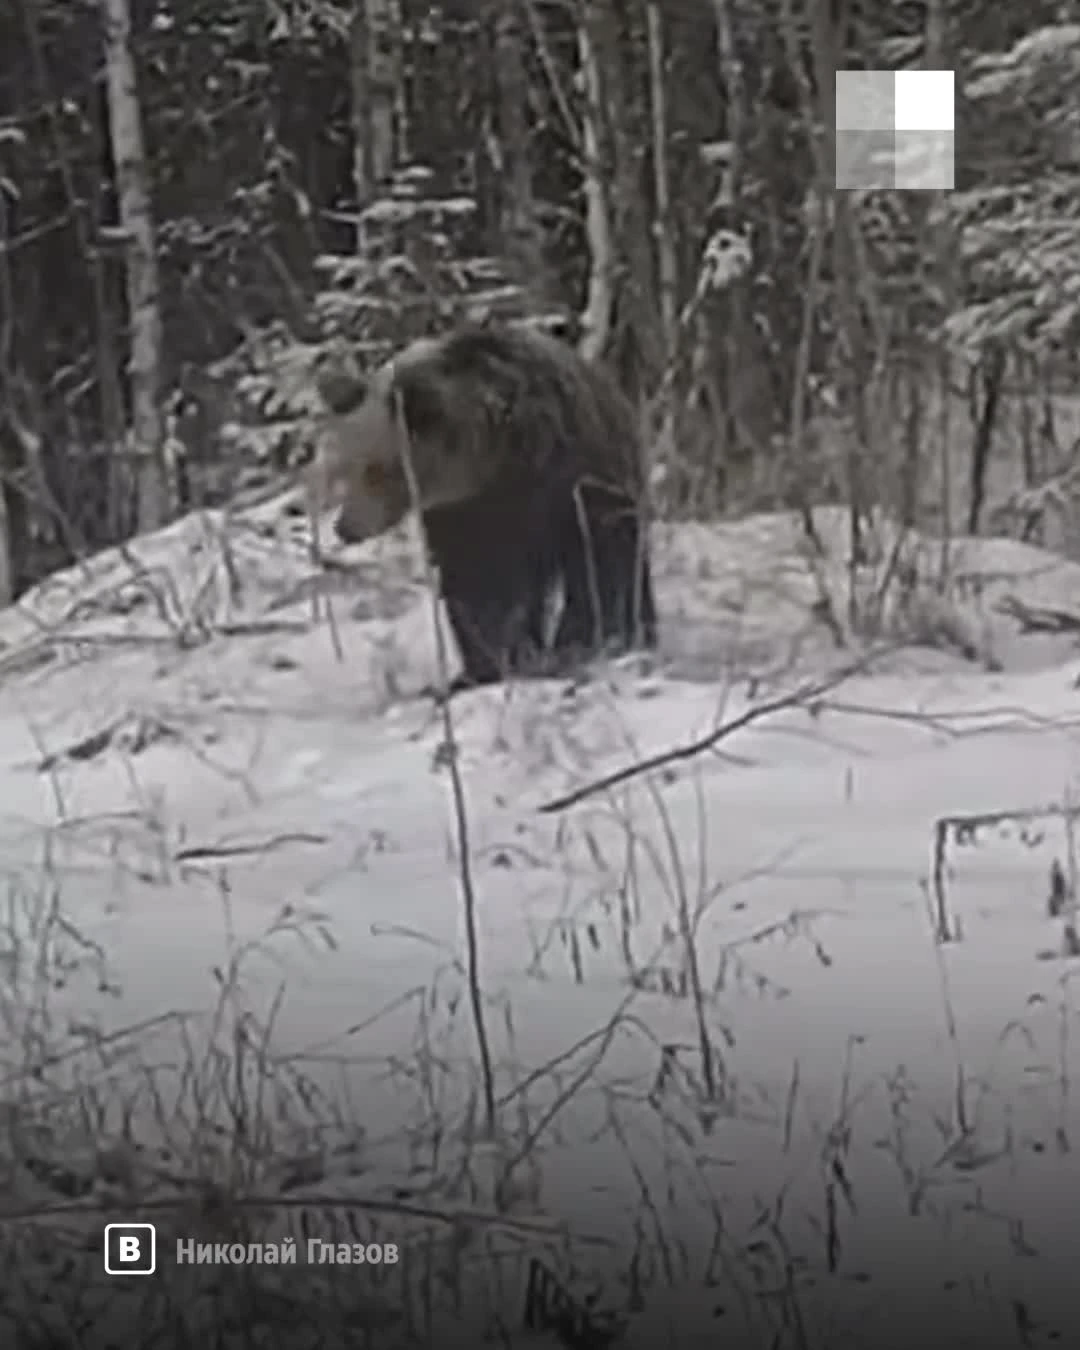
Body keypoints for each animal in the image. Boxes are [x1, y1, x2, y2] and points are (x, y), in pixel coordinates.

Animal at [311, 321, 658, 691]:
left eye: (376, 469)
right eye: (350, 464)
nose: (345, 527)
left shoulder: (567, 482)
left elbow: (597, 559)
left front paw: (587, 640)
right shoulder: (464, 514)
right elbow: (479, 585)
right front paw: (489, 663)